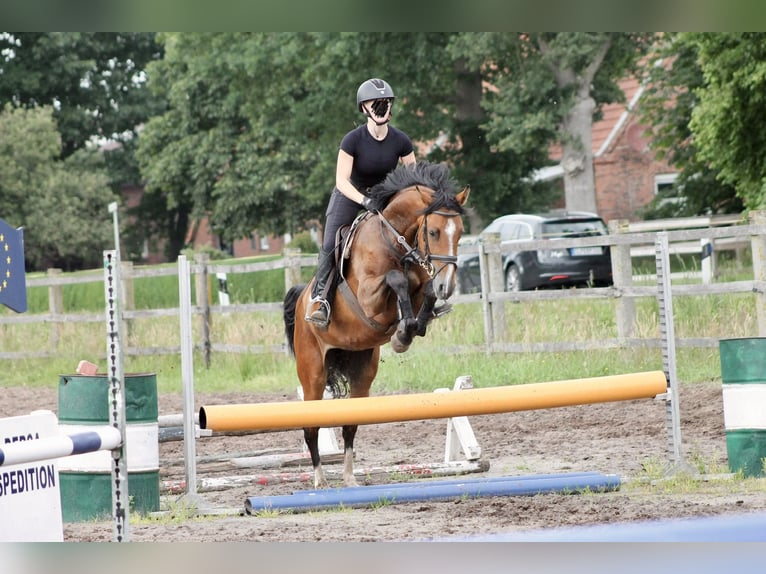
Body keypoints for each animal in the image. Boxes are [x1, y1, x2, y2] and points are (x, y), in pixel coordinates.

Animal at [283, 161, 470, 488]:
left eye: (459, 233)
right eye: (433, 231)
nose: (447, 286)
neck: (394, 242)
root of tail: (302, 297)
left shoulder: (419, 282)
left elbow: (422, 290)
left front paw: (409, 330)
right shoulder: (369, 297)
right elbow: (397, 279)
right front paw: (403, 331)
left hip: (362, 371)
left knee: (350, 424)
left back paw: (349, 478)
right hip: (312, 371)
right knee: (311, 425)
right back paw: (320, 480)